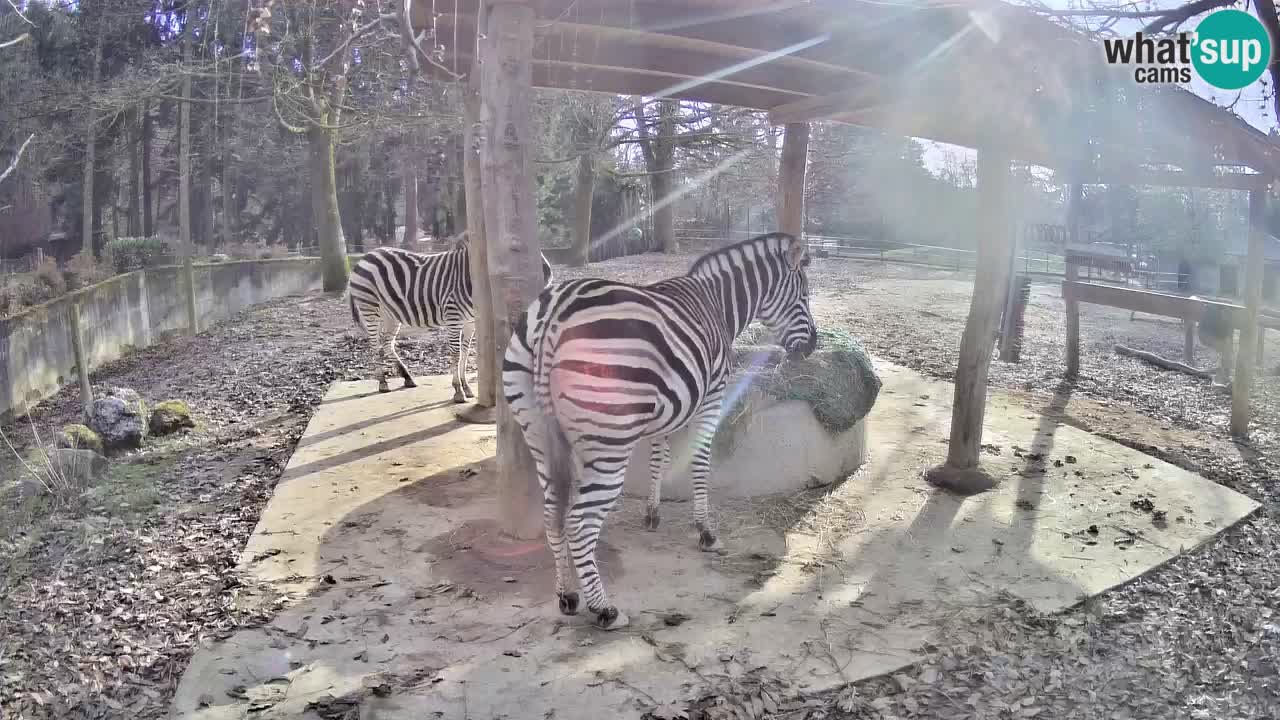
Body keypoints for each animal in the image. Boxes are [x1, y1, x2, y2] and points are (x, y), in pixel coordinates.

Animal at [348, 238, 552, 399]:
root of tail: (366, 256)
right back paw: (382, 382)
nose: (548, 275)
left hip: (391, 314)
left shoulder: (470, 322)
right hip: (369, 307)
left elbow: (466, 352)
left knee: (387, 343)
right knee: (374, 344)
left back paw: (407, 377)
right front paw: (458, 390)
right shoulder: (454, 317)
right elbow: (456, 352)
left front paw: (467, 387)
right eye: (513, 252)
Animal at [501, 230, 814, 627]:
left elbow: (658, 457)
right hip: (610, 441)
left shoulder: (667, 406)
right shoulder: (712, 396)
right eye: (804, 296)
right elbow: (699, 463)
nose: (813, 347)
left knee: (552, 514)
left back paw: (567, 595)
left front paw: (652, 513)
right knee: (578, 523)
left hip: (537, 430)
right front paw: (706, 532)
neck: (717, 304)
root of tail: (553, 313)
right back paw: (604, 609)